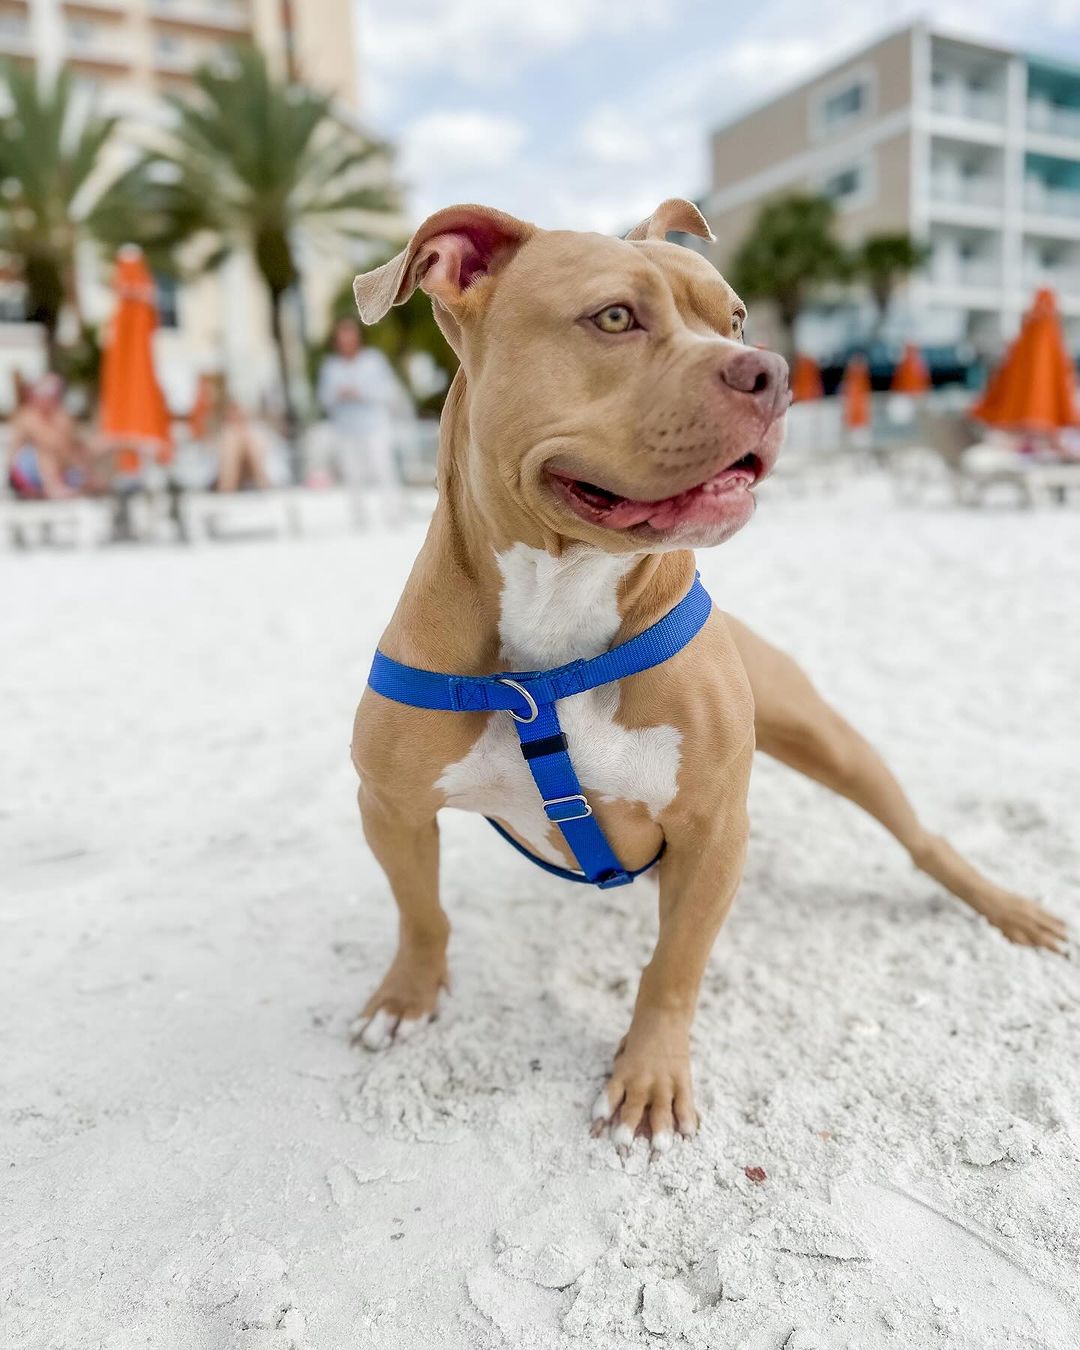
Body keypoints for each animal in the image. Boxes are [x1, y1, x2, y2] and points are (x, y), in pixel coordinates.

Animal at [351, 197, 1069, 1150]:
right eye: (615, 318)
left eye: (735, 321)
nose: (772, 372)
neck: (557, 616)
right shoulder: (389, 805)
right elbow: (418, 910)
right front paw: (406, 996)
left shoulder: (715, 830)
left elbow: (674, 965)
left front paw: (649, 1079)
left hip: (832, 741)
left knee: (922, 838)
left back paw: (1005, 908)